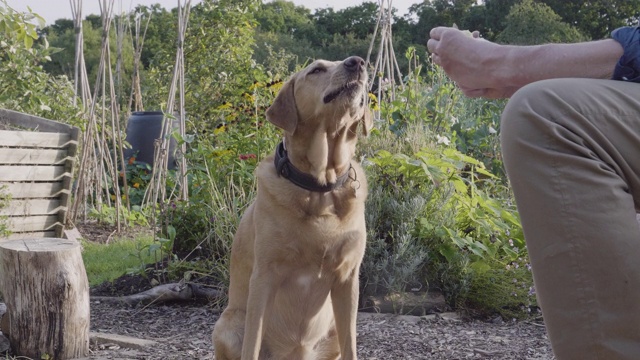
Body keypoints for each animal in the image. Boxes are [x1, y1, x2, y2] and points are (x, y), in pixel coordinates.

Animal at [211, 54, 370, 358]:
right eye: (316, 70)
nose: (357, 62)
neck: (319, 187)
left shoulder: (347, 278)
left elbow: (352, 347)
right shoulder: (264, 276)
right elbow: (252, 344)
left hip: (331, 332)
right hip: (228, 324)